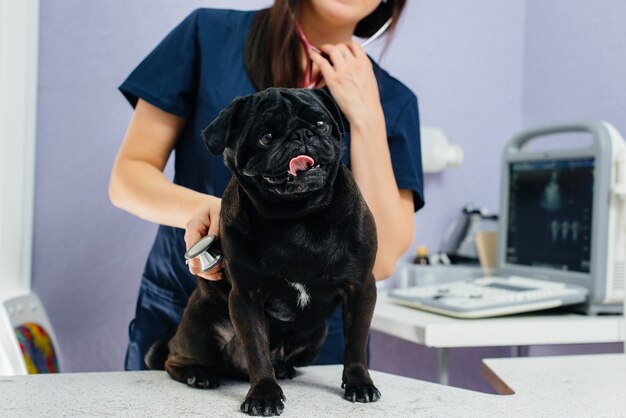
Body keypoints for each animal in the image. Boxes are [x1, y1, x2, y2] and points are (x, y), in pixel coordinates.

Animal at [146, 87, 378, 414]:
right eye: (266, 137)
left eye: (321, 124)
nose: (302, 135)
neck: (298, 216)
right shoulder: (247, 296)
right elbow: (256, 349)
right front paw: (264, 394)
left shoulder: (360, 287)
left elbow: (356, 343)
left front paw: (360, 383)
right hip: (199, 329)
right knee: (172, 359)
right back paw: (197, 374)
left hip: (314, 340)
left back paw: (283, 368)